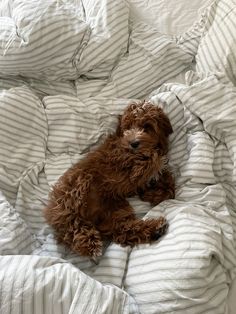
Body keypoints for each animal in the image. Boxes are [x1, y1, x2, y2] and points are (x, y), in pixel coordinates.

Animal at [43, 102, 175, 258]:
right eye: (128, 127)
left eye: (147, 126)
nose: (133, 143)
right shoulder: (118, 156)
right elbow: (149, 160)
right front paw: (149, 165)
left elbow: (169, 186)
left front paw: (156, 193)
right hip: (77, 187)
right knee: (74, 224)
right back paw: (90, 244)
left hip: (114, 210)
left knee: (124, 230)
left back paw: (156, 229)